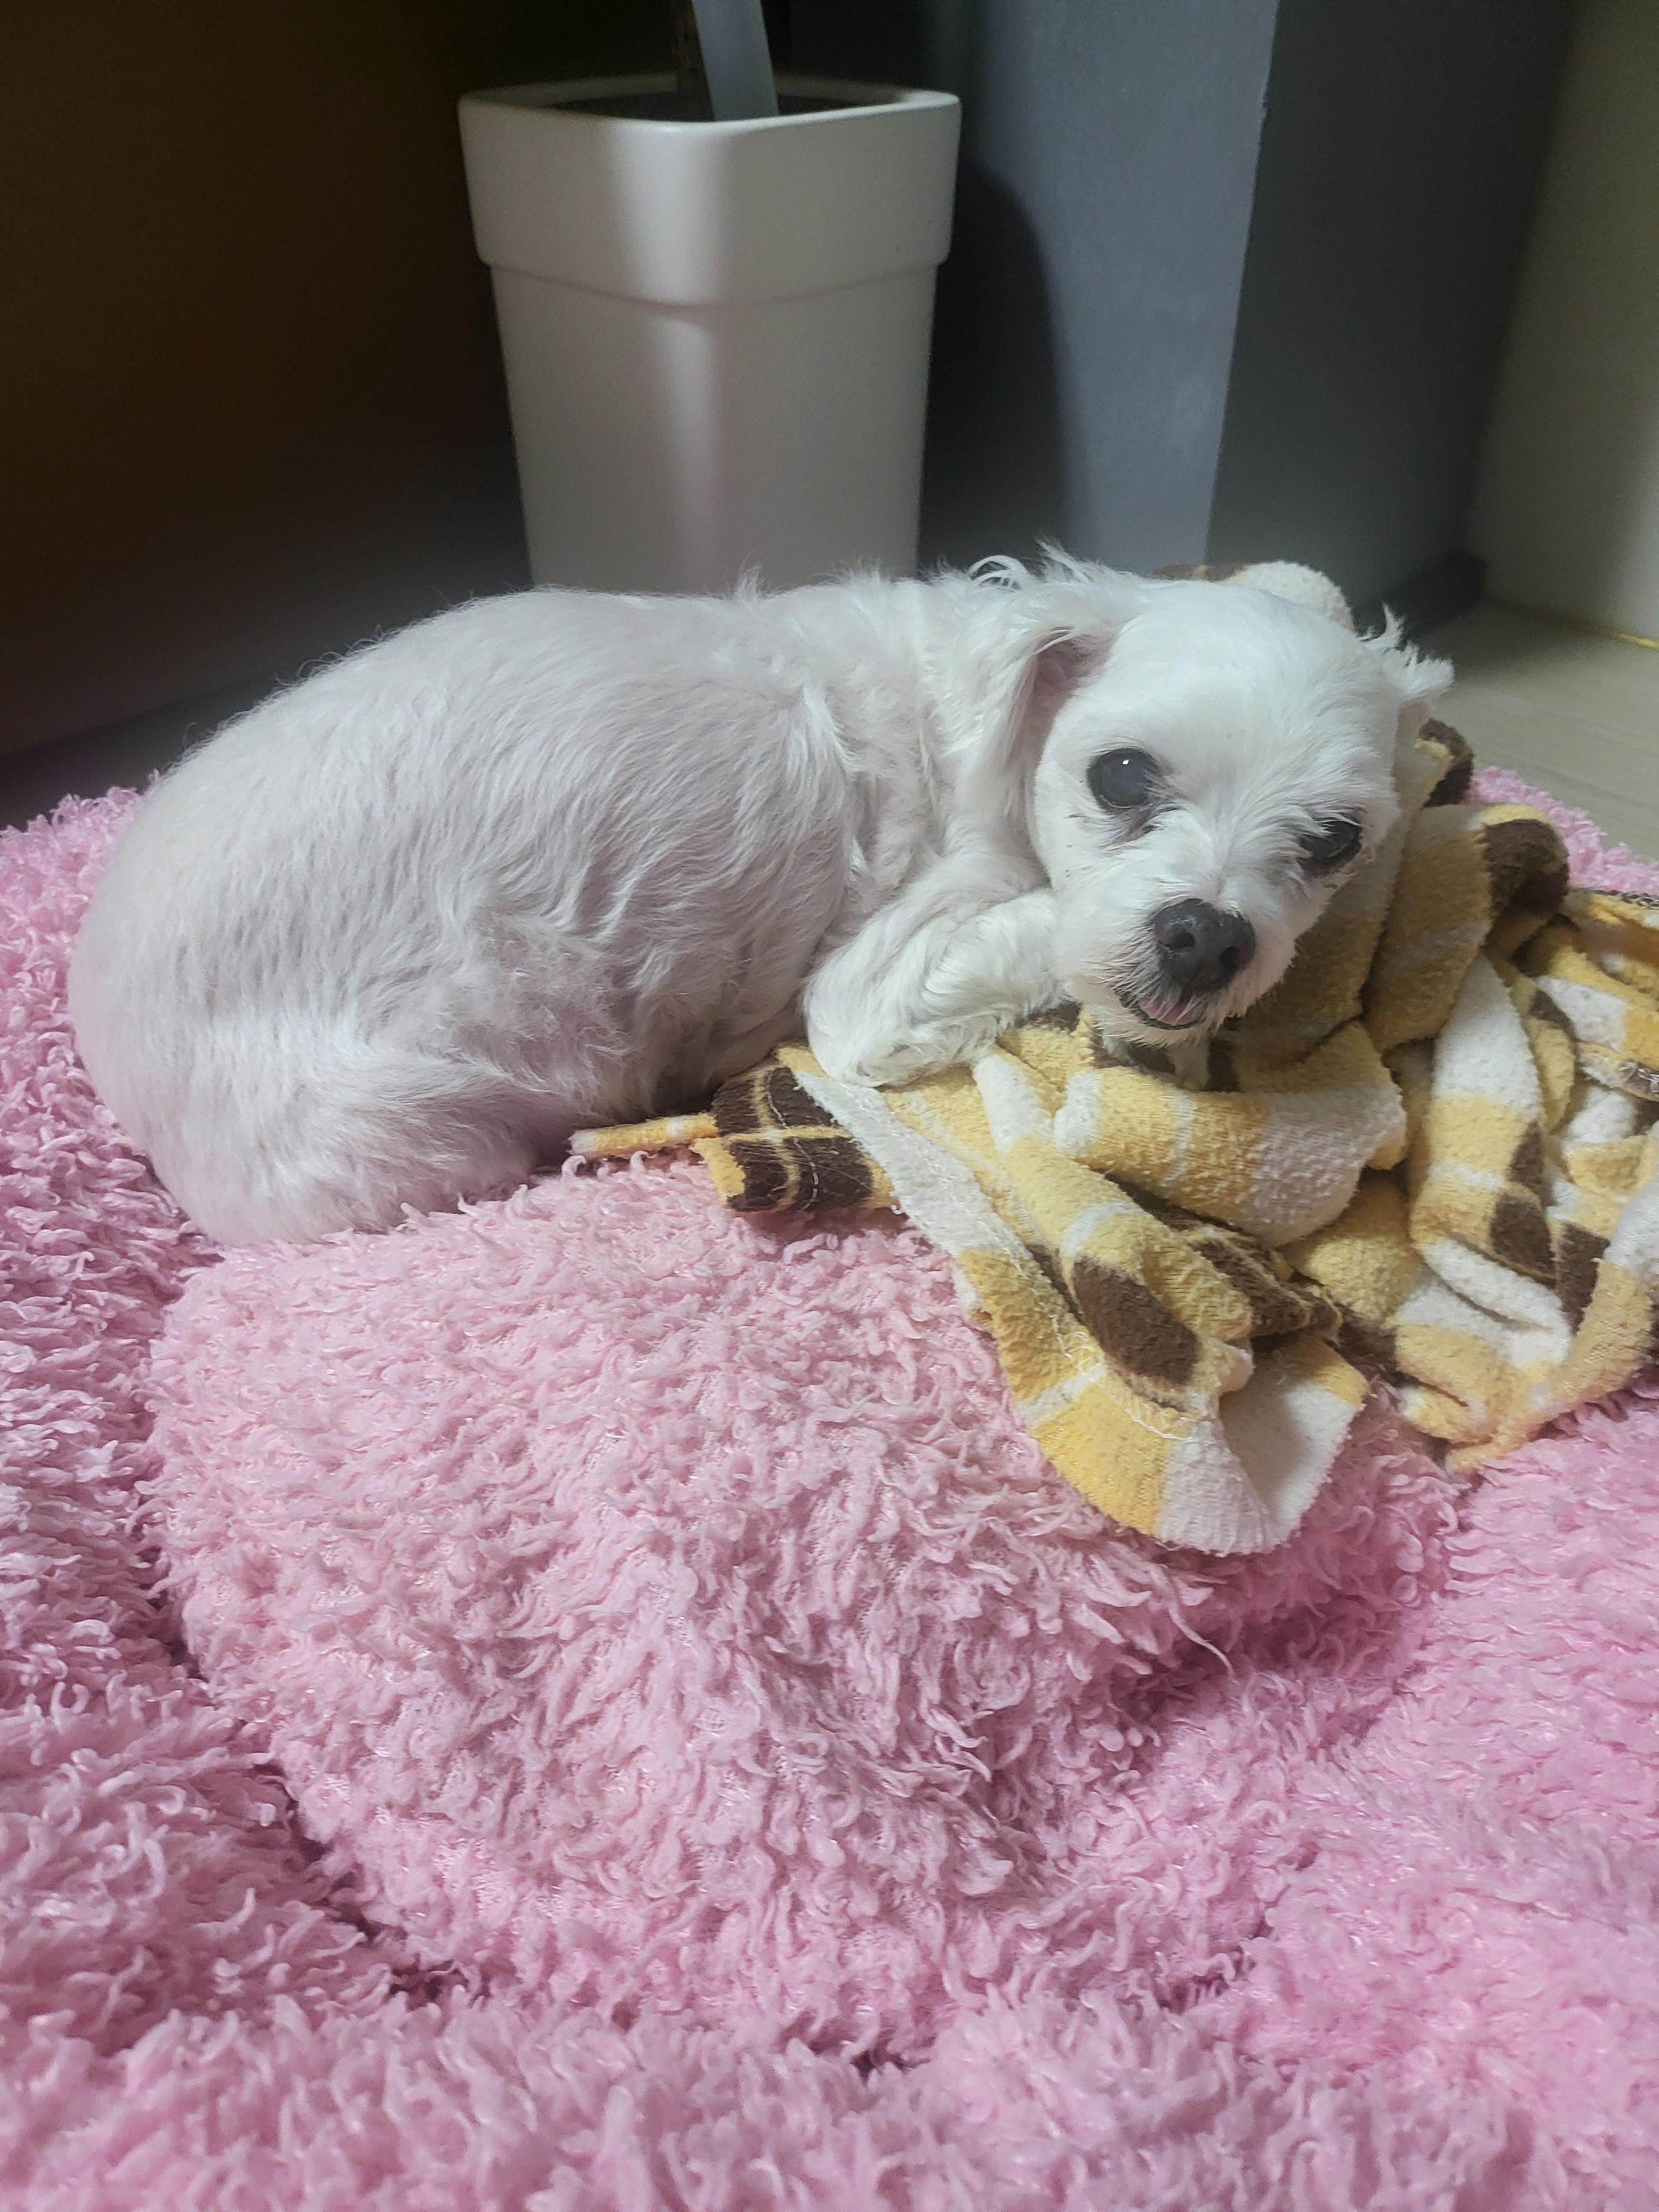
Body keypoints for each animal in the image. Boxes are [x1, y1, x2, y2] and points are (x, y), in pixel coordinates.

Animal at [68, 557, 1449, 1244]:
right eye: (1121, 774)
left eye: (1333, 841)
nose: (1210, 936)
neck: (992, 717)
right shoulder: (877, 987)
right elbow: (1011, 942)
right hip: (398, 1140)